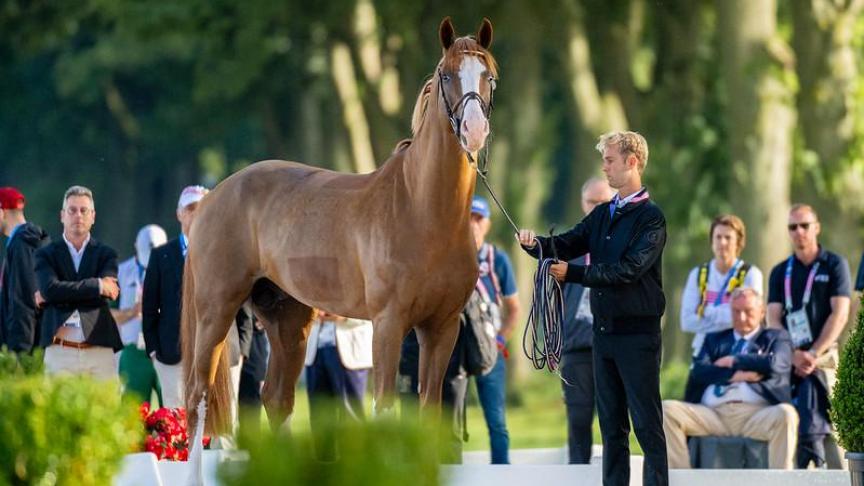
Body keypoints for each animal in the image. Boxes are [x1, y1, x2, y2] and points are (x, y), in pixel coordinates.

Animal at [180, 17, 498, 443]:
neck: (422, 209)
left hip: (288, 319)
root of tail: (211, 198)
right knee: (197, 397)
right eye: (446, 75)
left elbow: (430, 413)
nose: (474, 130)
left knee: (275, 398)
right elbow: (385, 409)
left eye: (489, 77)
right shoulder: (388, 325)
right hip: (215, 311)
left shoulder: (441, 328)